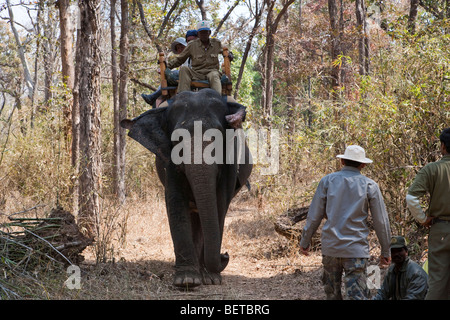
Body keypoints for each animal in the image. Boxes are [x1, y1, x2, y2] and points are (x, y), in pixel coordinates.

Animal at [121, 88, 251, 288]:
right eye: (177, 139)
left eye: (219, 135)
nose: (225, 254)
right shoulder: (168, 159)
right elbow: (175, 202)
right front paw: (187, 280)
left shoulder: (230, 162)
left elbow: (219, 204)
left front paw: (211, 279)